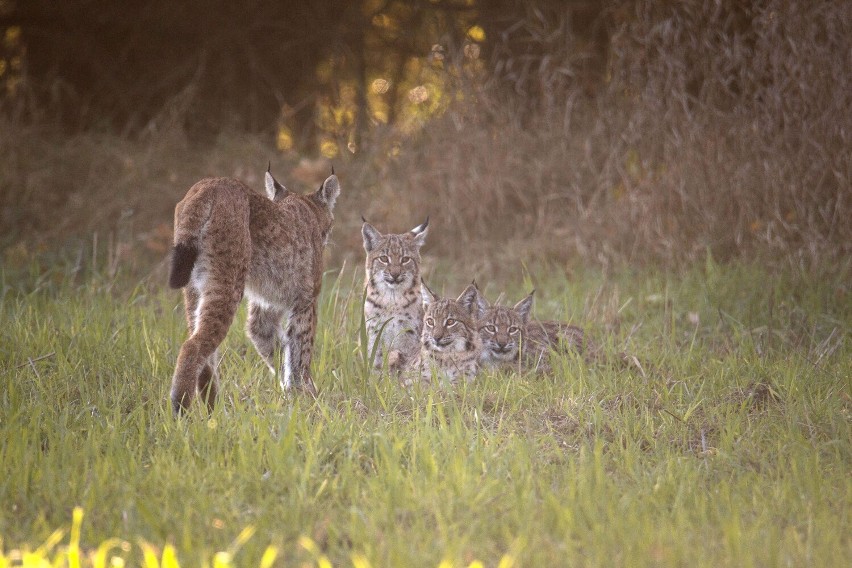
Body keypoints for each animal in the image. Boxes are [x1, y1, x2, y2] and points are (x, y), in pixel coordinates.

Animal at [166, 166, 340, 414]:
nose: (328, 236)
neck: (307, 209)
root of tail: (209, 185)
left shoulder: (265, 306)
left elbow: (276, 346)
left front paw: (293, 396)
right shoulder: (307, 299)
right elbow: (300, 351)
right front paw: (309, 399)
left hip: (193, 287)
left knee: (204, 352)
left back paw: (215, 412)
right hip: (228, 281)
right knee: (193, 345)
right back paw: (182, 412)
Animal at [362, 217, 430, 372]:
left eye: (405, 259)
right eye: (383, 258)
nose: (395, 274)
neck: (391, 298)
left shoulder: (410, 334)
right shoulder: (374, 333)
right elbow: (376, 364)